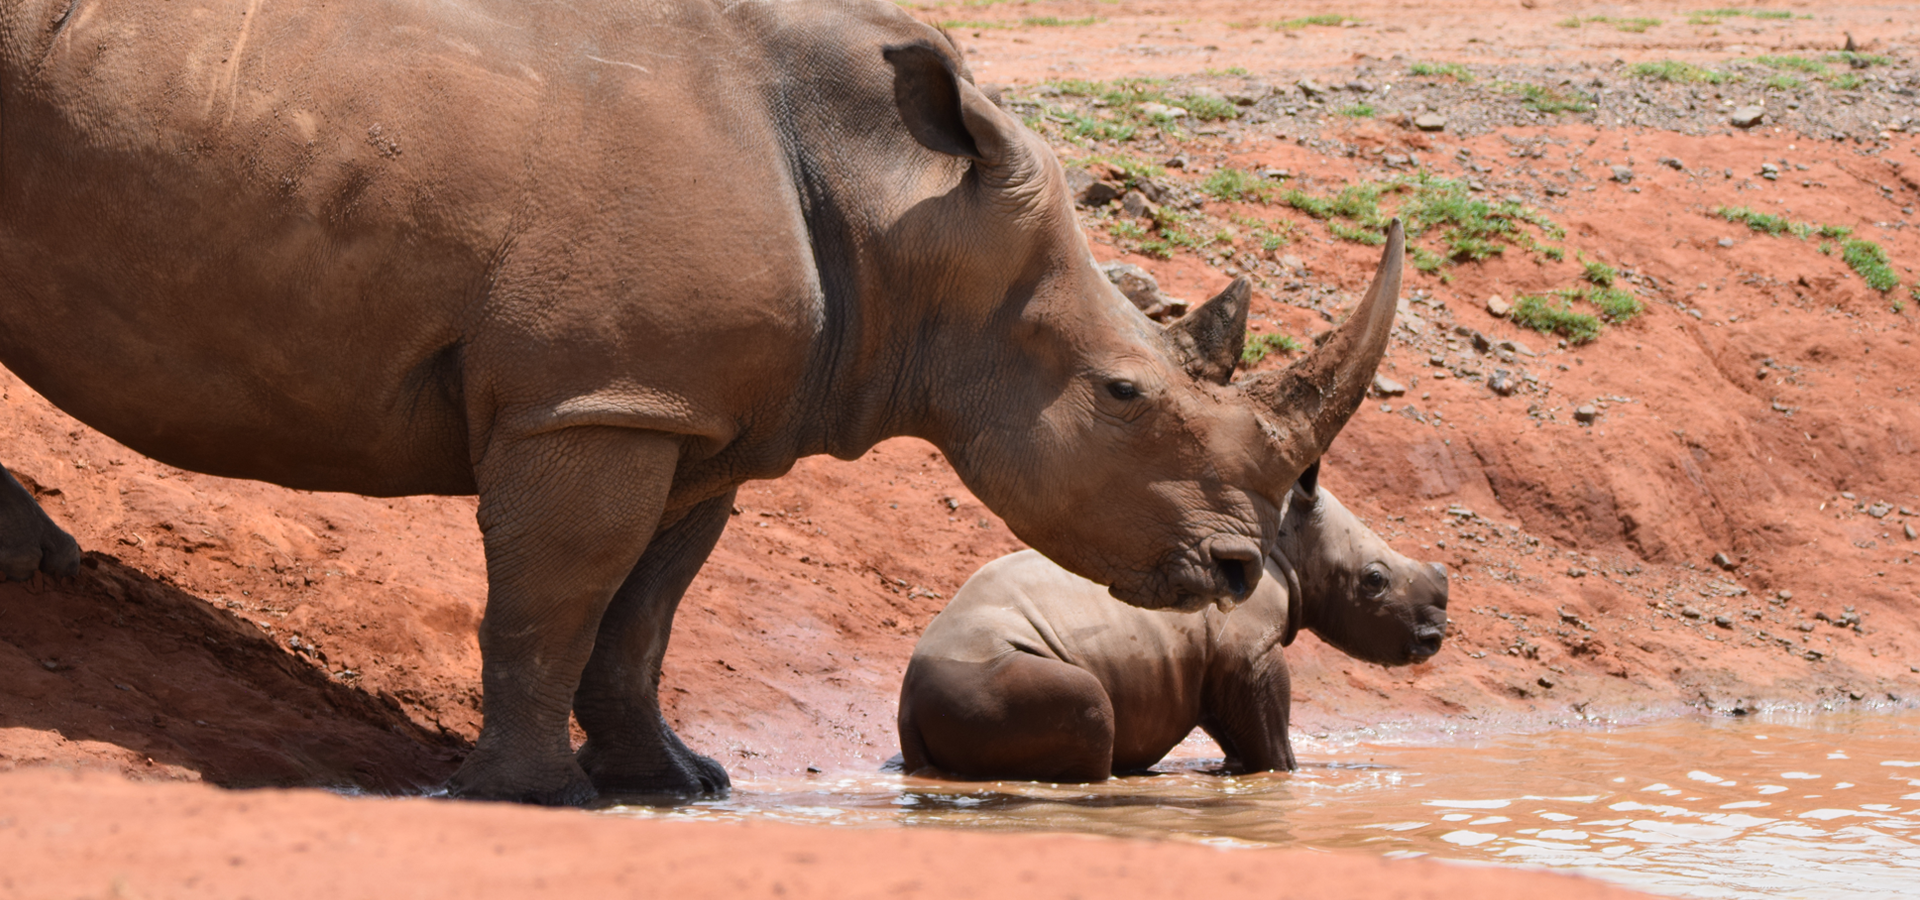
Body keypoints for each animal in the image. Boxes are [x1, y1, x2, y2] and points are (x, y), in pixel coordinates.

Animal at [898, 461, 1449, 781]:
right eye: (1374, 580)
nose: (1435, 636)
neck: (1290, 540)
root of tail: (906, 707)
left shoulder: (1215, 661)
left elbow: (1236, 727)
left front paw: (1233, 771)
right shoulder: (1247, 649)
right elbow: (1271, 731)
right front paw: (1286, 776)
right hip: (976, 671)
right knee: (1087, 699)